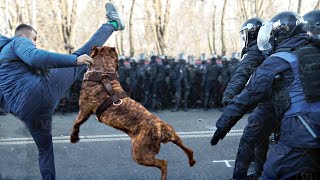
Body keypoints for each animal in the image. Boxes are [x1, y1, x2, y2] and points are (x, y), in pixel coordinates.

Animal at [70, 46, 195, 180]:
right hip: (172, 134)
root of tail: (160, 128)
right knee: (187, 148)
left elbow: (76, 124)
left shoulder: (84, 110)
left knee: (163, 163)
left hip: (140, 154)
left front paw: (74, 138)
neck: (103, 73)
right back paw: (192, 161)